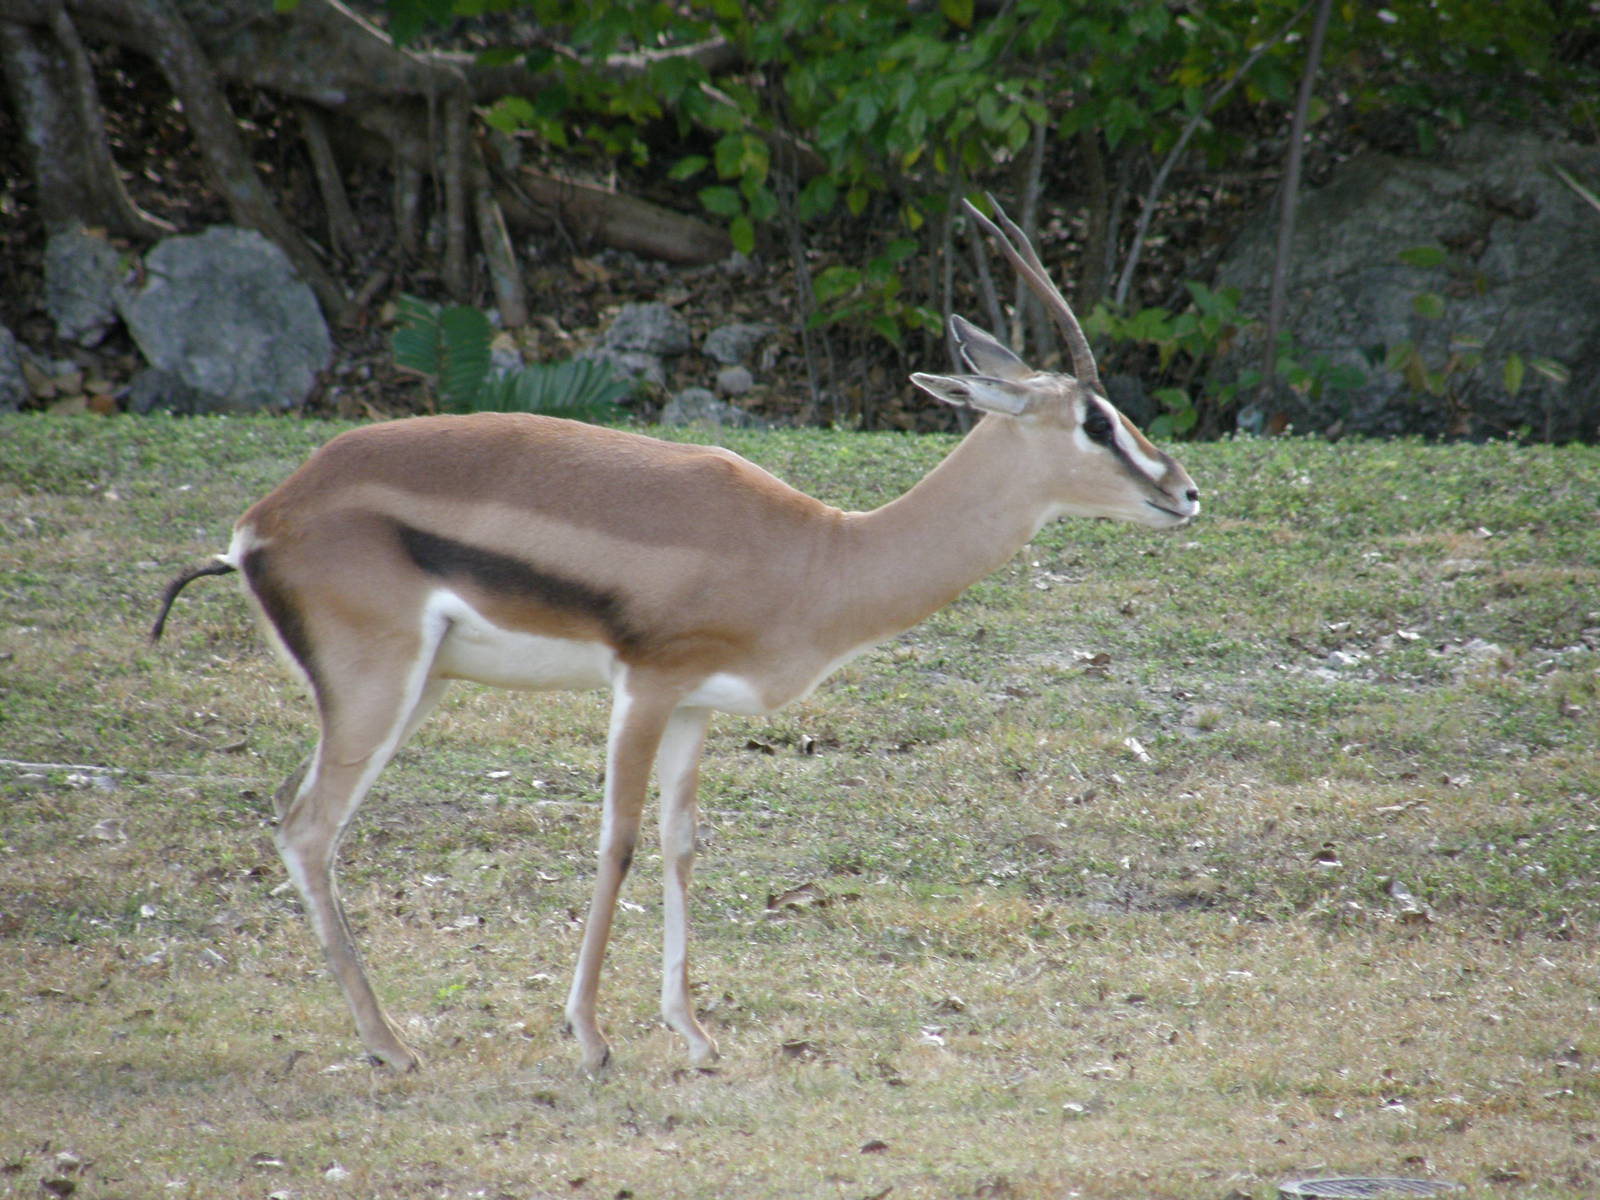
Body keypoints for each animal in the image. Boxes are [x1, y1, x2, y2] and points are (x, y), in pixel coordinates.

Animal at [152, 199, 1199, 1075]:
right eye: (1096, 421)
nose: (1185, 492)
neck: (820, 552)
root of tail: (261, 522)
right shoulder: (644, 687)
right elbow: (615, 841)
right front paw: (590, 1037)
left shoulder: (699, 706)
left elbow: (680, 843)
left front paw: (692, 1034)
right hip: (380, 690)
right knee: (309, 828)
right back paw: (392, 1047)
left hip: (409, 691)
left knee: (290, 812)